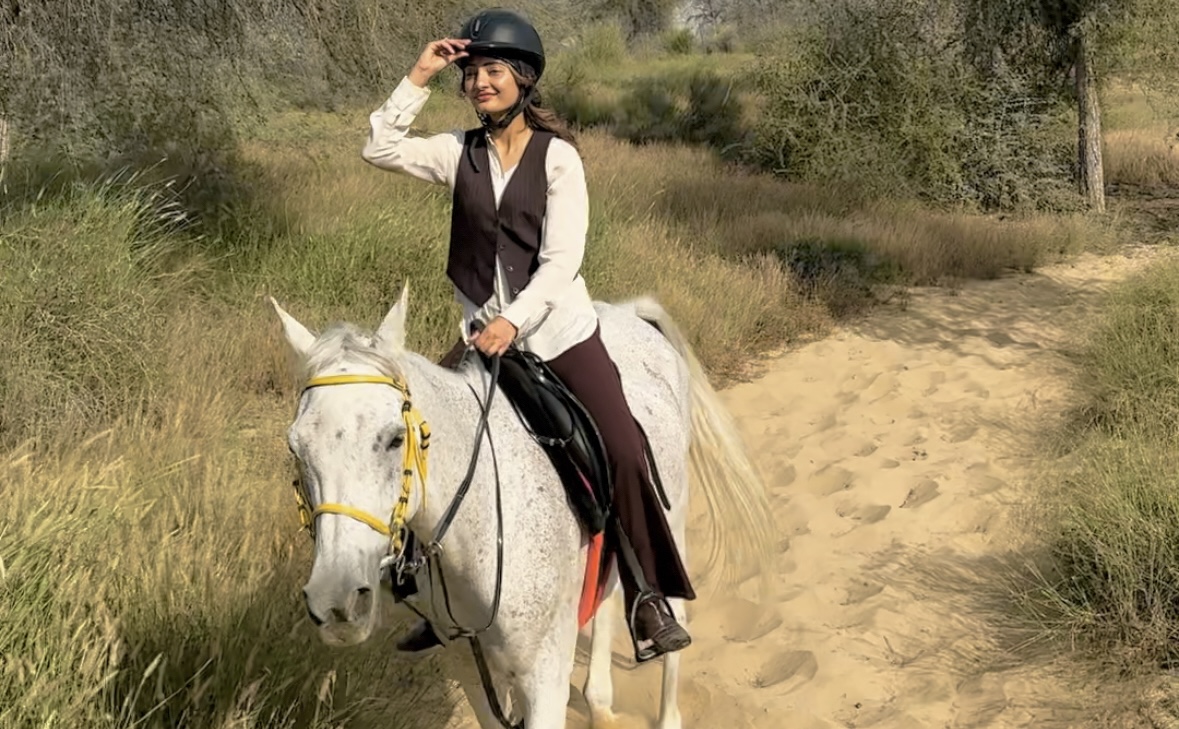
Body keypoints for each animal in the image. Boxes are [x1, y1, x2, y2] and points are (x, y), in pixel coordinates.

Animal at [271, 285, 778, 726]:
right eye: (295, 447)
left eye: (395, 438)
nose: (336, 604)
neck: (479, 529)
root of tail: (629, 313)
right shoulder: (469, 666)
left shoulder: (544, 677)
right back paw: (599, 701)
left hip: (669, 516)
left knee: (671, 598)